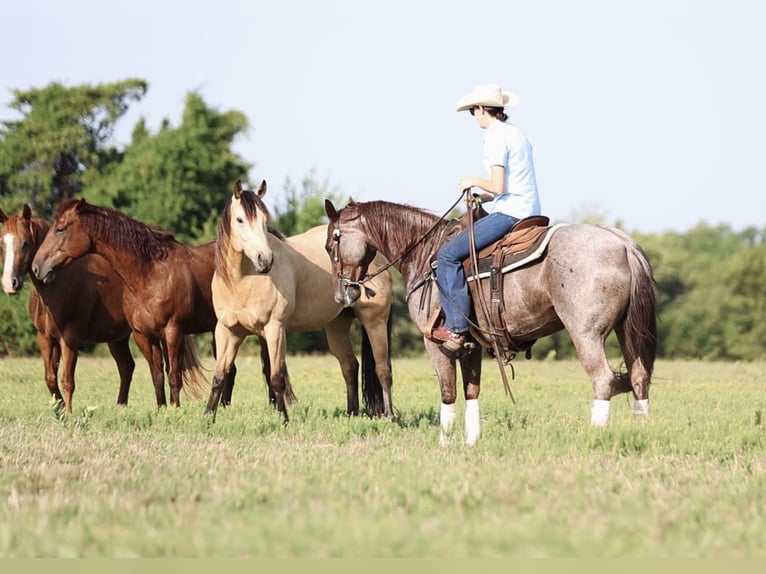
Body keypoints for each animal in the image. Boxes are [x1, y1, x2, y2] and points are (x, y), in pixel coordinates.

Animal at [1, 205, 165, 412]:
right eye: (2, 244)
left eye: (26, 243)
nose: (10, 284)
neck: (56, 285)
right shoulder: (45, 338)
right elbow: (50, 378)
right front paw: (59, 409)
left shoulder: (69, 338)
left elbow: (67, 380)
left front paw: (69, 412)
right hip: (116, 337)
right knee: (126, 366)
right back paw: (120, 406)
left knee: (150, 367)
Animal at [204, 182, 396, 426]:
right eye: (239, 220)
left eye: (265, 221)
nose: (265, 260)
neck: (243, 281)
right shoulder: (227, 332)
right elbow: (219, 376)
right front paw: (207, 417)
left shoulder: (275, 329)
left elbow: (276, 378)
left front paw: (284, 419)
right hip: (336, 327)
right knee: (350, 367)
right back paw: (351, 413)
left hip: (375, 323)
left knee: (383, 370)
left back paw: (389, 416)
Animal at [324, 200, 660, 448]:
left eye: (330, 244)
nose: (342, 293)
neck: (423, 255)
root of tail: (623, 243)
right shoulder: (471, 345)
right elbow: (472, 392)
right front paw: (471, 442)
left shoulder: (435, 343)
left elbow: (448, 393)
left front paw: (444, 443)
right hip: (626, 333)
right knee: (638, 378)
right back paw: (641, 432)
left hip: (586, 335)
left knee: (603, 380)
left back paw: (595, 436)